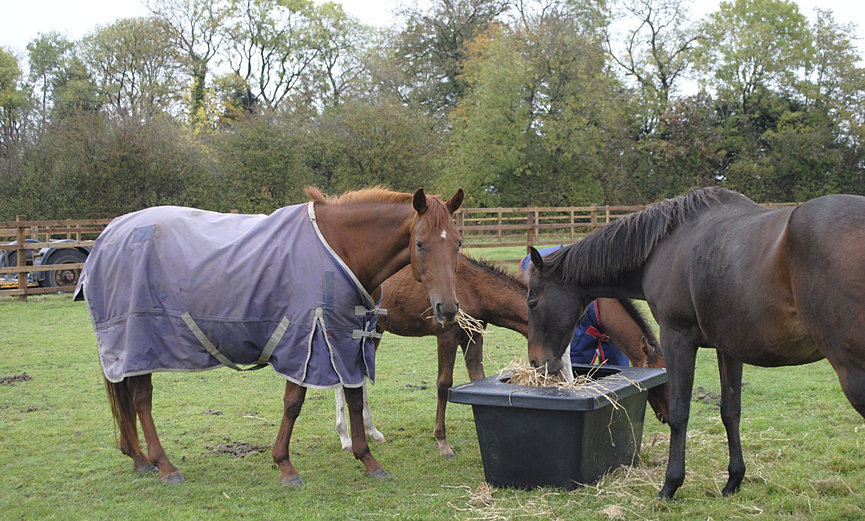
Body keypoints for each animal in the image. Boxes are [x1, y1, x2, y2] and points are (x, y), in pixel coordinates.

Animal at [75, 186, 464, 486]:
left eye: (458, 243)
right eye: (420, 243)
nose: (447, 307)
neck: (342, 248)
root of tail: (108, 236)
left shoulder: (346, 338)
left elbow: (354, 397)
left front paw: (367, 459)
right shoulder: (307, 339)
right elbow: (294, 404)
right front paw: (286, 466)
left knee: (131, 398)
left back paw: (140, 459)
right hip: (138, 341)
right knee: (141, 400)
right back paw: (164, 465)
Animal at [334, 254, 669, 458]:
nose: (567, 383)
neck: (471, 286)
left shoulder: (475, 335)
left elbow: (478, 378)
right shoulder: (447, 335)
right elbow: (443, 385)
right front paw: (442, 442)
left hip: (374, 331)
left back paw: (371, 432)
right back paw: (347, 438)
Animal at [524, 186, 865, 500]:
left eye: (532, 301)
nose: (536, 362)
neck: (666, 243)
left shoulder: (678, 337)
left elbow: (680, 413)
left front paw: (670, 485)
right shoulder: (728, 349)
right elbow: (730, 411)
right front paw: (733, 480)